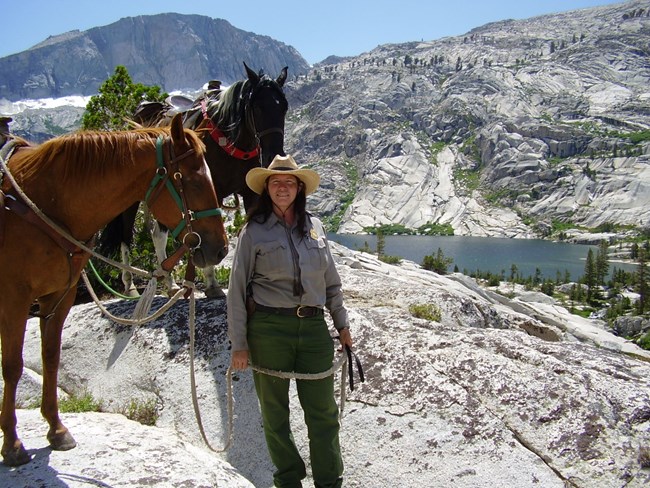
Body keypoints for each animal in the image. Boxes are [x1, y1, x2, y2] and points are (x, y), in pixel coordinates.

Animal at [0, 113, 228, 466]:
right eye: (192, 181)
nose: (220, 249)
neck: (44, 201)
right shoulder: (14, 299)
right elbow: (12, 367)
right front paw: (12, 443)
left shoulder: (59, 297)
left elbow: (51, 356)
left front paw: (56, 429)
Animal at [98, 62, 286, 298]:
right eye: (258, 108)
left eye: (284, 108)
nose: (274, 156)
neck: (229, 142)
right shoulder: (207, 193)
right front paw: (212, 283)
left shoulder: (250, 194)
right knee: (132, 234)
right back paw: (135, 284)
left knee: (156, 233)